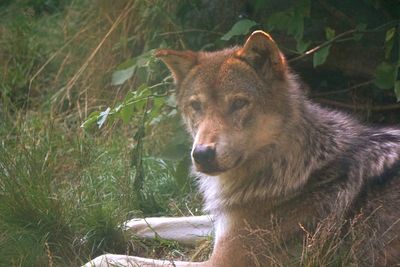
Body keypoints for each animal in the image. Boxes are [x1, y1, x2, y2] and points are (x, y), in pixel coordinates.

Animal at [83, 30, 400, 266]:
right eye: (196, 106)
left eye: (238, 103)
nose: (202, 154)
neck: (292, 168)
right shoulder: (224, 221)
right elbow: (155, 222)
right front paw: (120, 226)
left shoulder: (222, 261)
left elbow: (115, 258)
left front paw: (95, 257)